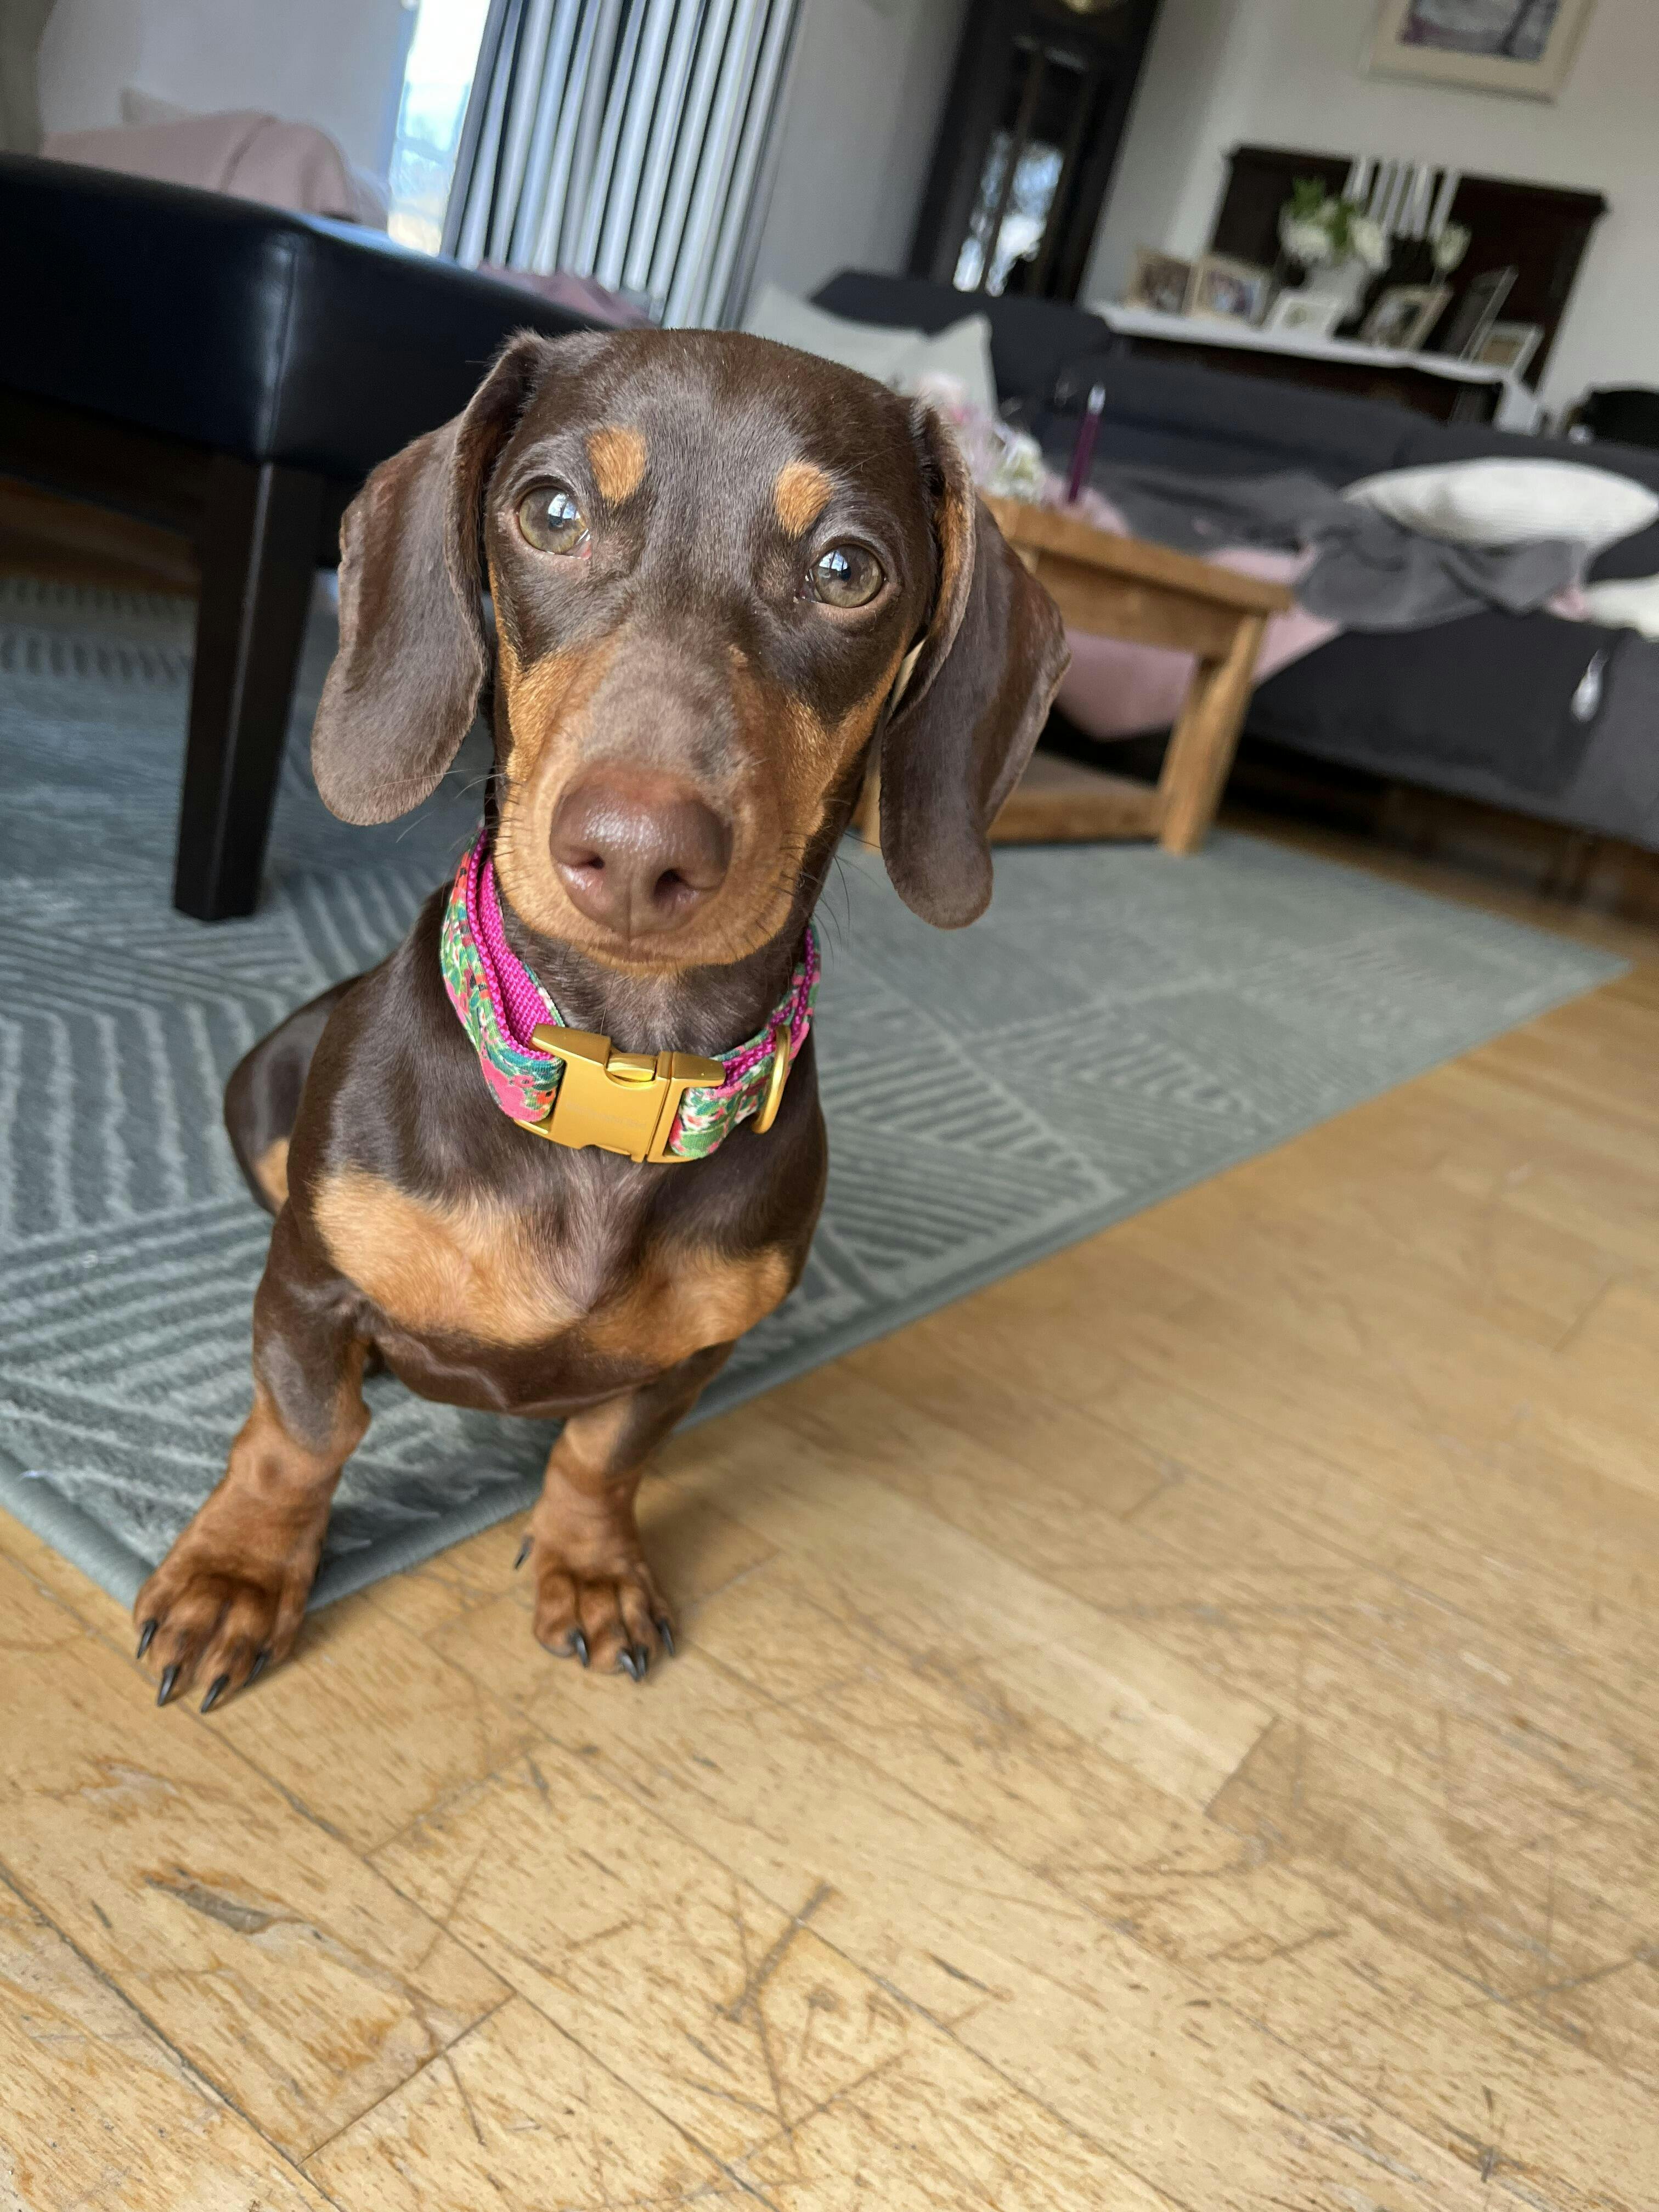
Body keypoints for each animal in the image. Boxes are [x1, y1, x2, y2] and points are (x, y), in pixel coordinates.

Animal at [133, 326, 1068, 1708]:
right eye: (551, 512)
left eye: (849, 569)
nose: (635, 853)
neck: (611, 1082)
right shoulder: (311, 1291)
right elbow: (303, 1436)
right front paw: (236, 1576)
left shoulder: (688, 1363)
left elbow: (602, 1453)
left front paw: (590, 1565)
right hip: (261, 1095)